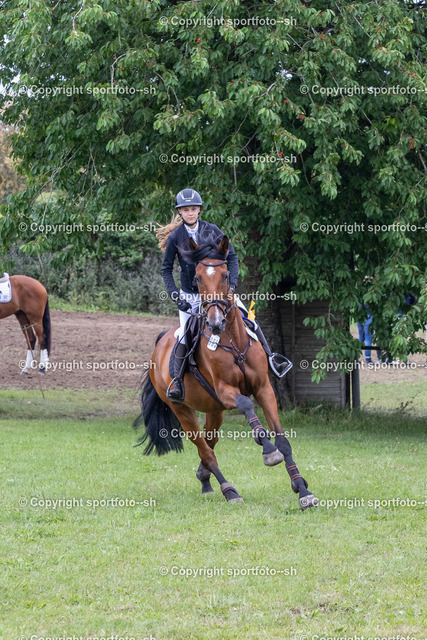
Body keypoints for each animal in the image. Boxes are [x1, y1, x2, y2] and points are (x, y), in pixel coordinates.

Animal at [134, 236, 318, 510]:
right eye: (198, 278)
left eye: (224, 275)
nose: (215, 323)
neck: (233, 341)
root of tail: (159, 345)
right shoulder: (226, 390)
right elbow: (246, 406)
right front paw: (268, 450)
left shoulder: (264, 388)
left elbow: (284, 442)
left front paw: (303, 490)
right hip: (182, 410)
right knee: (206, 450)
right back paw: (229, 490)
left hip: (214, 410)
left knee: (209, 442)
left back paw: (204, 478)